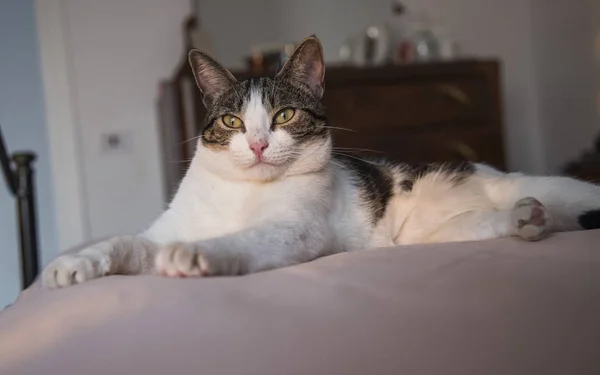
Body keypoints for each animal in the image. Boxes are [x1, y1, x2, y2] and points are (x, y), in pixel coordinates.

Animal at [42, 35, 600, 288]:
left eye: (284, 115)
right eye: (232, 122)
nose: (258, 145)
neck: (241, 193)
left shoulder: (294, 233)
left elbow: (238, 241)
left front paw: (195, 256)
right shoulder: (162, 230)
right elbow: (122, 242)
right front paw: (71, 263)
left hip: (556, 189)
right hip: (437, 237)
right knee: (501, 224)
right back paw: (527, 220)